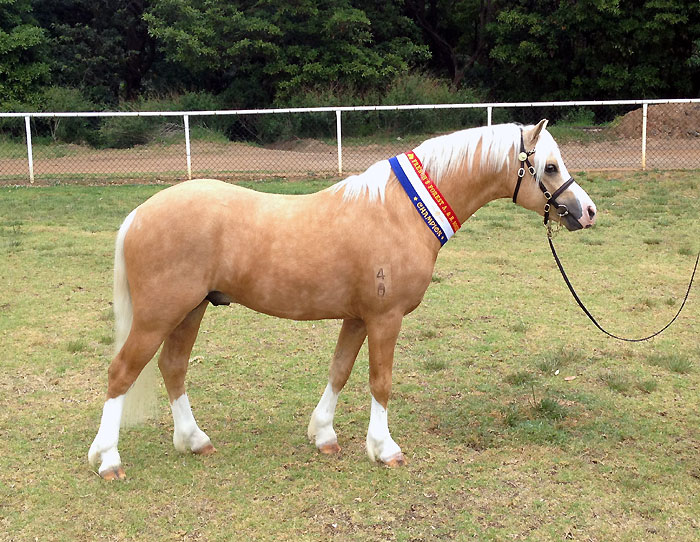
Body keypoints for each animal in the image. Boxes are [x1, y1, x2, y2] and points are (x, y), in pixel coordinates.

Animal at [88, 120, 597, 480]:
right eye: (549, 167)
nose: (587, 211)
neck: (400, 211)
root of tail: (139, 213)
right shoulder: (385, 318)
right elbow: (380, 382)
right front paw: (384, 449)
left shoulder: (357, 318)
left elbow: (339, 371)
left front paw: (324, 435)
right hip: (159, 315)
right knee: (122, 373)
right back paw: (109, 460)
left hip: (189, 311)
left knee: (172, 368)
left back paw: (194, 441)